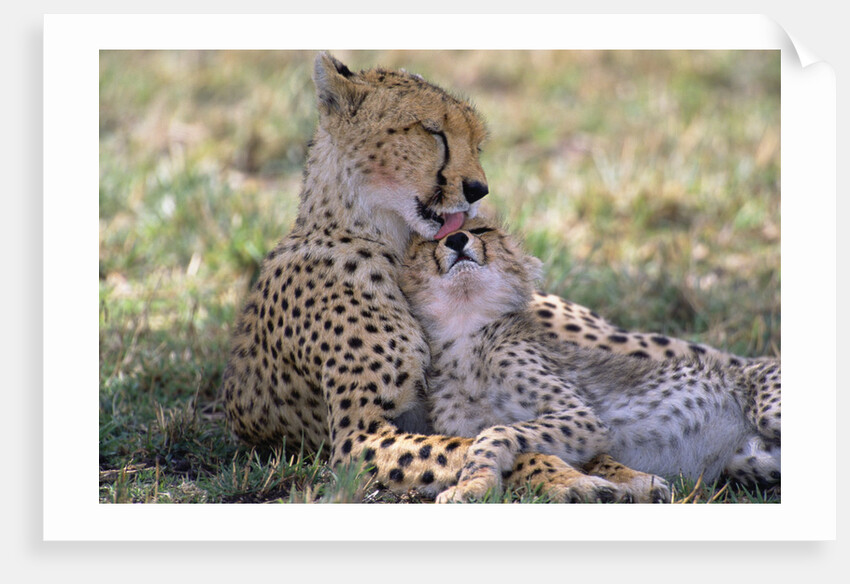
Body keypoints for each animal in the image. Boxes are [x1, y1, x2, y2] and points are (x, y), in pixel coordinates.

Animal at [399, 215, 781, 503]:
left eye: (481, 230)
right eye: (432, 241)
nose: (457, 239)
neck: (465, 333)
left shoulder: (582, 416)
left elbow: (496, 431)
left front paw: (473, 482)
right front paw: (475, 482)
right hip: (754, 460)